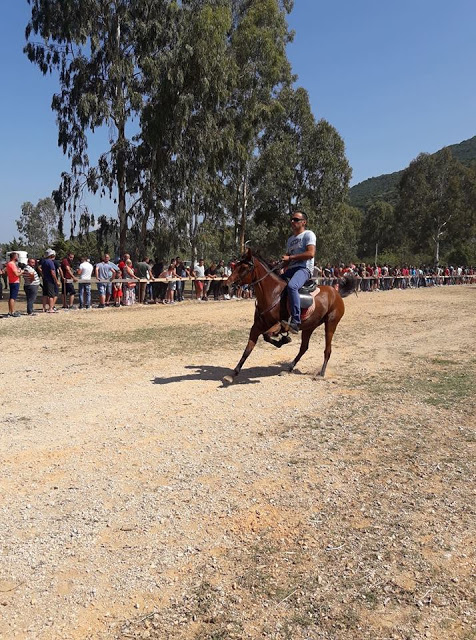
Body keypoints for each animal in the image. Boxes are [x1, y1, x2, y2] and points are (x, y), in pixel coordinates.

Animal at [223, 248, 356, 382]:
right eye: (235, 266)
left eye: (244, 268)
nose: (226, 285)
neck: (273, 294)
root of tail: (336, 293)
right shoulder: (256, 326)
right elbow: (248, 349)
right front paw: (233, 373)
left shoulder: (279, 325)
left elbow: (267, 335)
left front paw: (284, 340)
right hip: (309, 327)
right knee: (303, 348)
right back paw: (289, 368)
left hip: (331, 324)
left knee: (327, 350)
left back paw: (321, 373)